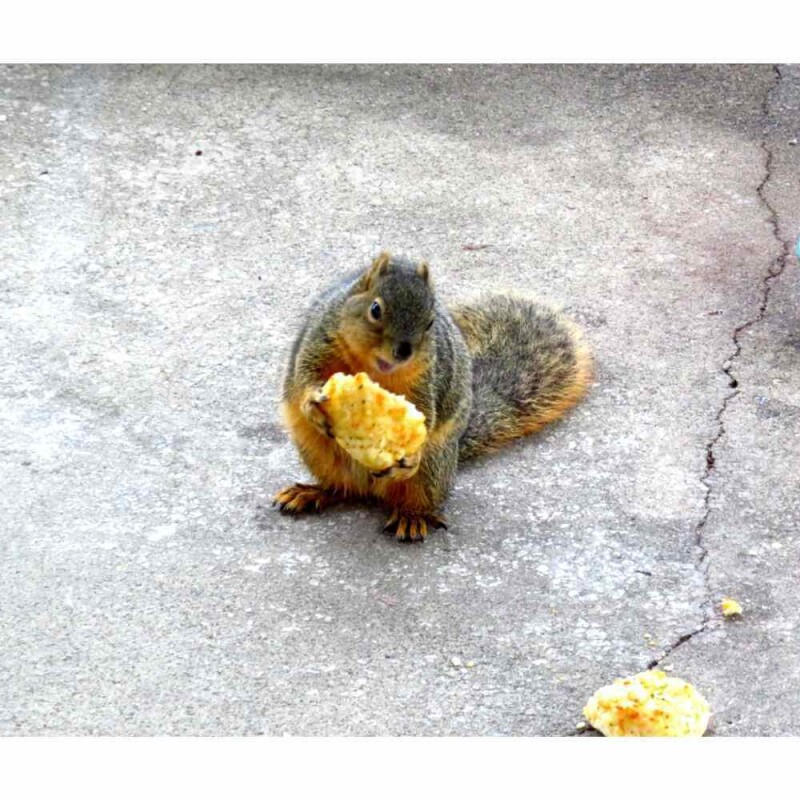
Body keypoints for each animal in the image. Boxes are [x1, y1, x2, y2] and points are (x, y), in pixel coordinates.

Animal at [273, 251, 593, 541]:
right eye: (375, 309)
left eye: (429, 323)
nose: (403, 351)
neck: (372, 366)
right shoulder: (320, 337)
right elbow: (304, 374)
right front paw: (312, 403)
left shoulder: (427, 378)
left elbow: (425, 412)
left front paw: (410, 453)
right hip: (314, 449)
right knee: (342, 489)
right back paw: (312, 492)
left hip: (432, 467)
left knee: (418, 498)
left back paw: (412, 517)